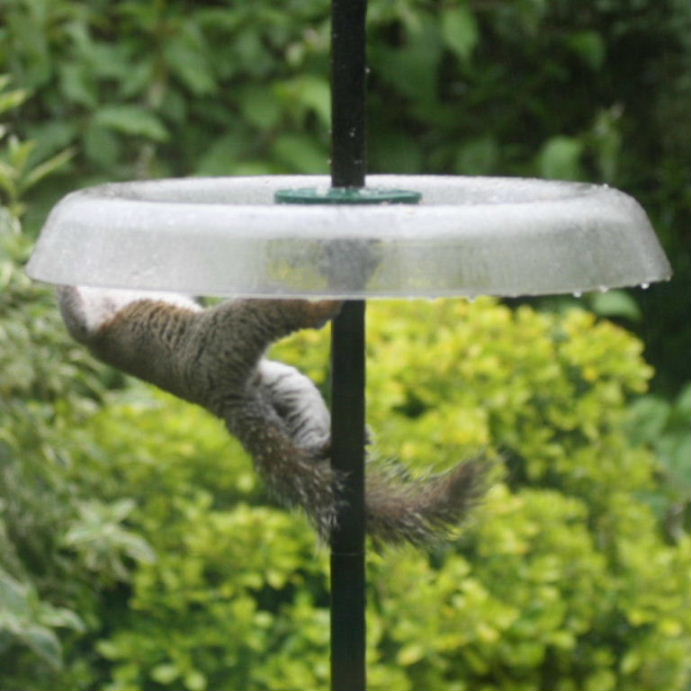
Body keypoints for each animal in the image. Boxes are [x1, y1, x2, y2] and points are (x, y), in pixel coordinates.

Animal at [58, 286, 489, 546]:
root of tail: (221, 397)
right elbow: (76, 306)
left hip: (282, 385)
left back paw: (325, 446)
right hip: (232, 329)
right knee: (288, 313)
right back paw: (326, 305)